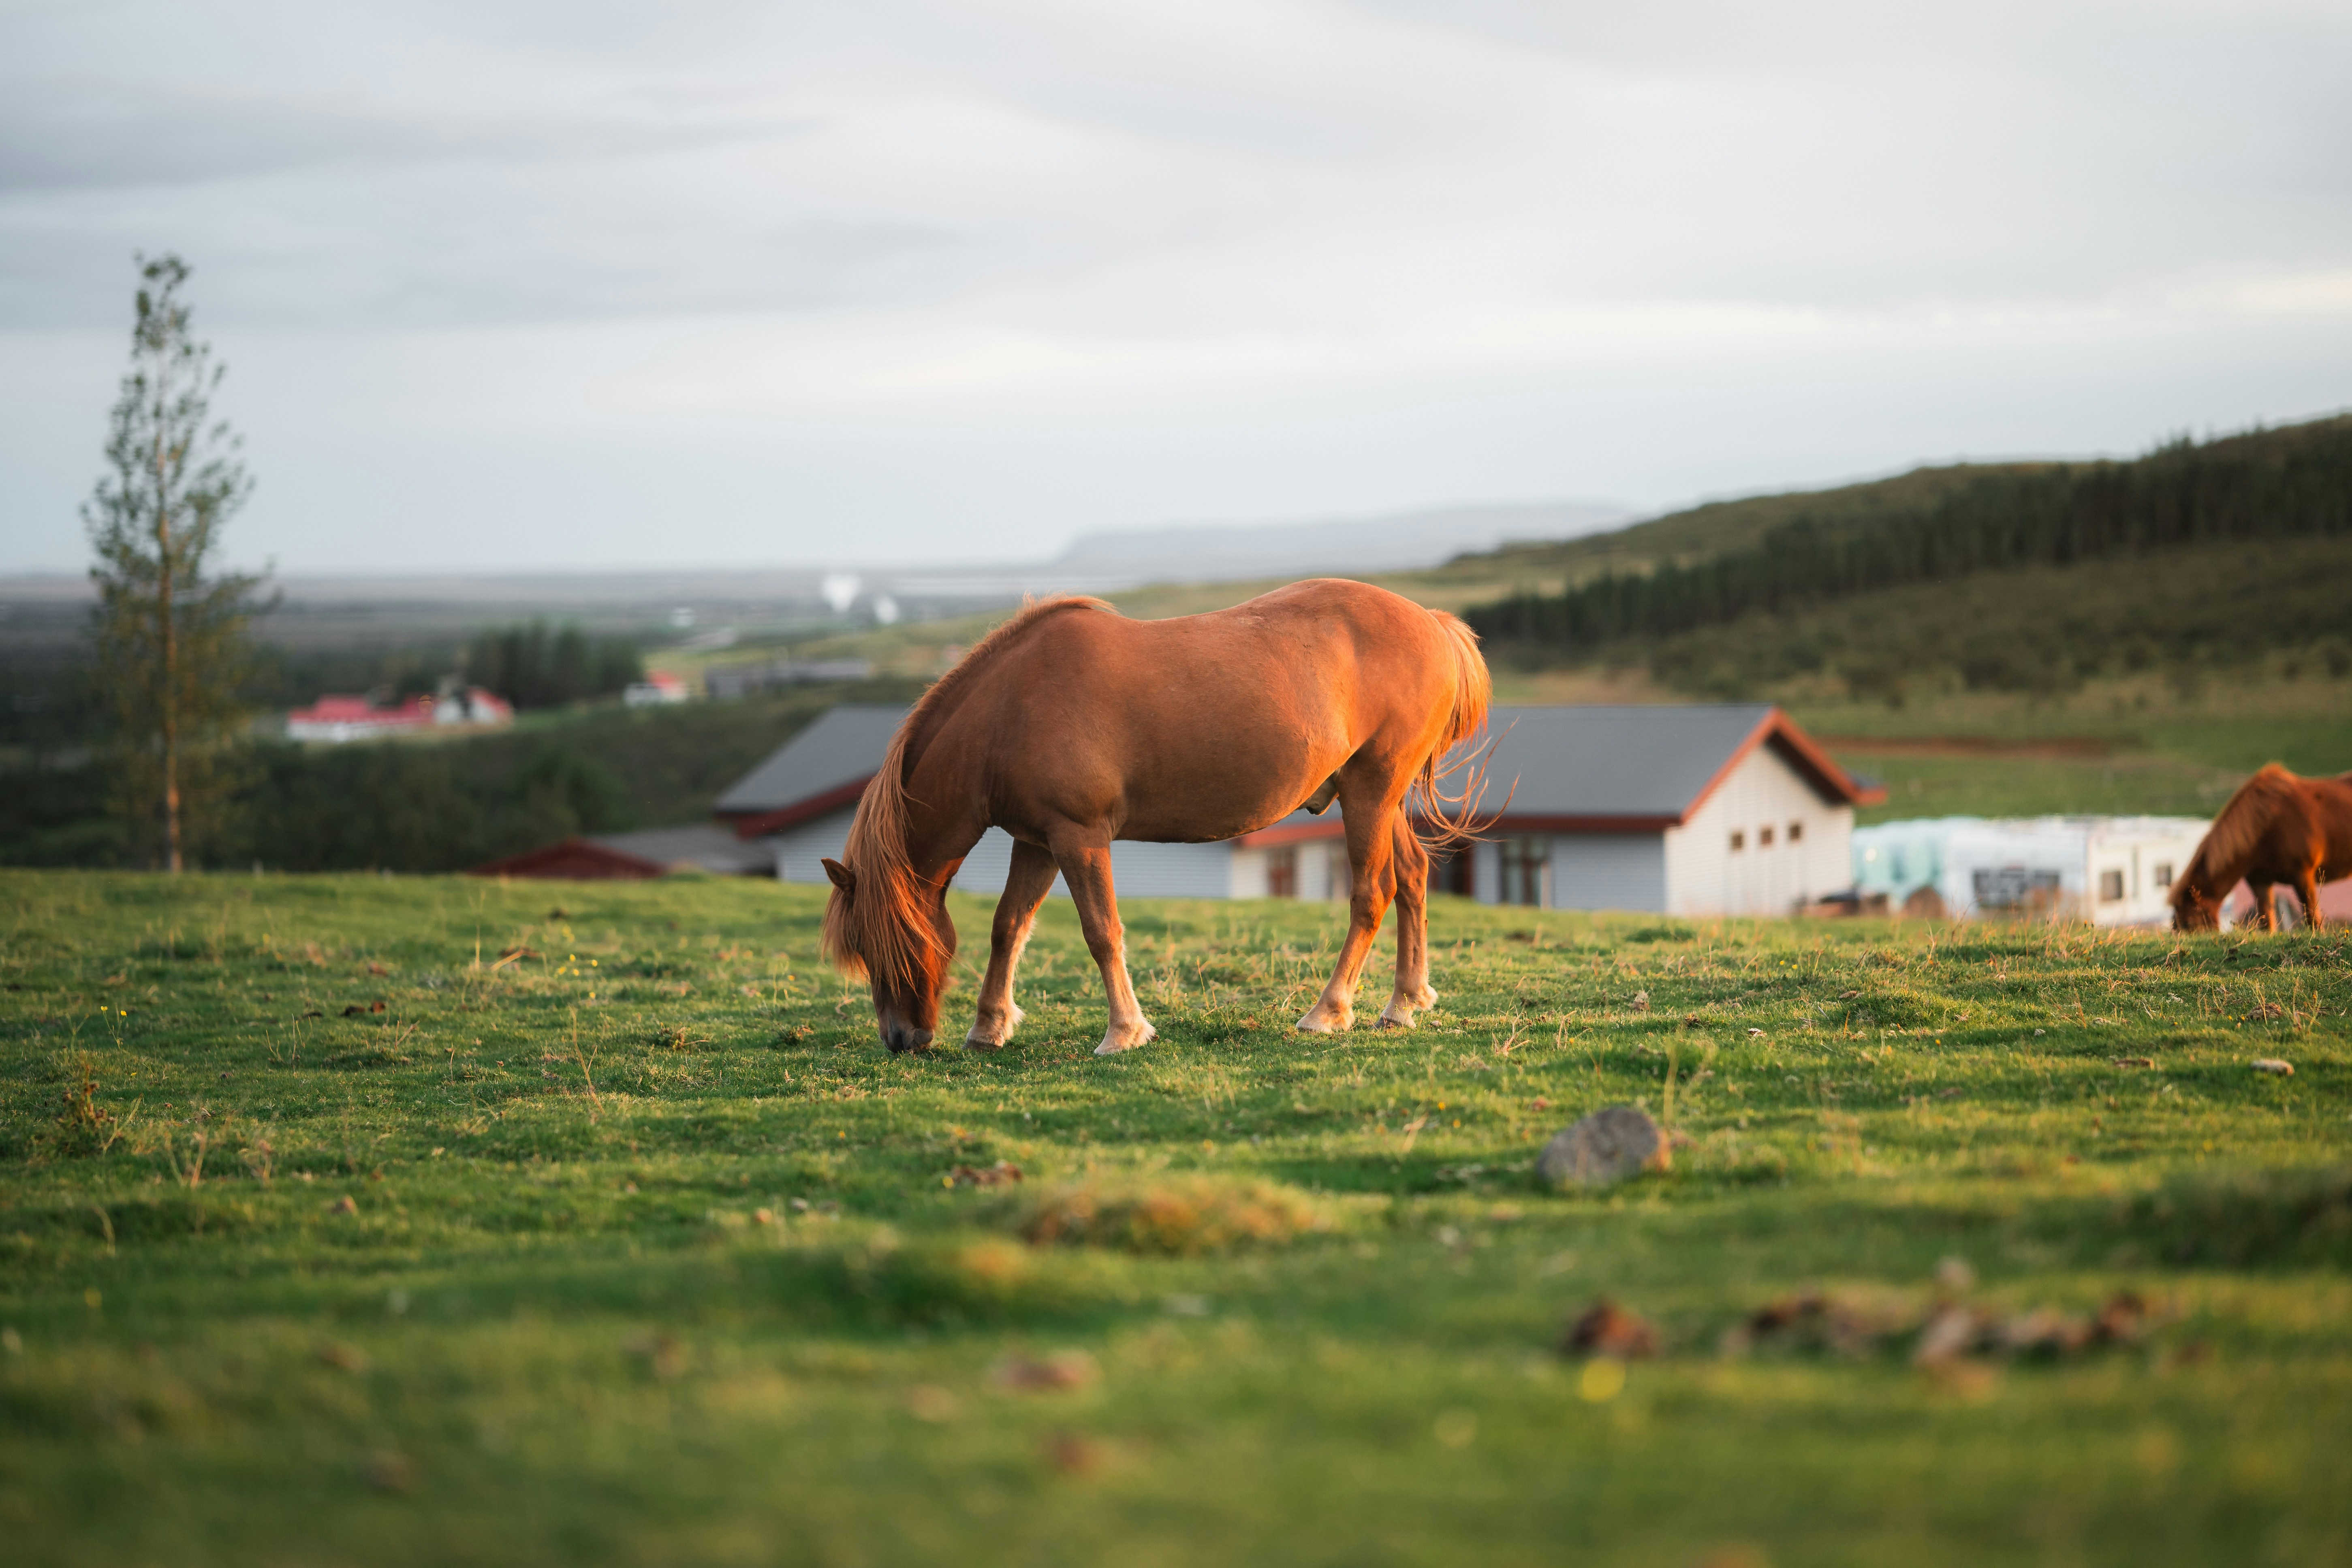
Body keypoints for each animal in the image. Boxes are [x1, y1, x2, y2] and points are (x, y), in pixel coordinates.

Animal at [818, 579, 1492, 1055]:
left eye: (891, 941)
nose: (900, 1039)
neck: (1011, 710)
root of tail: (1431, 622)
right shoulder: (1037, 842)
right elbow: (1008, 927)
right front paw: (990, 1026)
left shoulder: (1080, 837)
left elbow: (1101, 932)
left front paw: (1123, 1031)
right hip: (1378, 798)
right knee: (1412, 877)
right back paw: (1404, 1003)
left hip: (1369, 793)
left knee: (1371, 894)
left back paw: (1327, 1011)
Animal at [2171, 763, 2352, 931]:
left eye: (2189, 924)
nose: (2178, 934)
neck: (2269, 825)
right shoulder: (2260, 881)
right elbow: (2267, 923)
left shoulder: (2303, 875)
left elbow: (2312, 918)